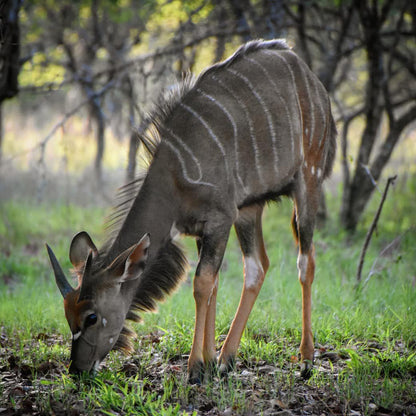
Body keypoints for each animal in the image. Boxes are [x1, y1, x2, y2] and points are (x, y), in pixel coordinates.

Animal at [47, 39, 336, 384]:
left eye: (91, 317)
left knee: (305, 261)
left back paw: (305, 361)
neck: (175, 176)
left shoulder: (219, 219)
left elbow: (201, 284)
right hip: (249, 208)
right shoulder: (207, 227)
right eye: (67, 313)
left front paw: (195, 368)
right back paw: (227, 359)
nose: (77, 370)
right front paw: (210, 362)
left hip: (307, 181)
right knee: (258, 266)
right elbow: (212, 283)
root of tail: (311, 78)